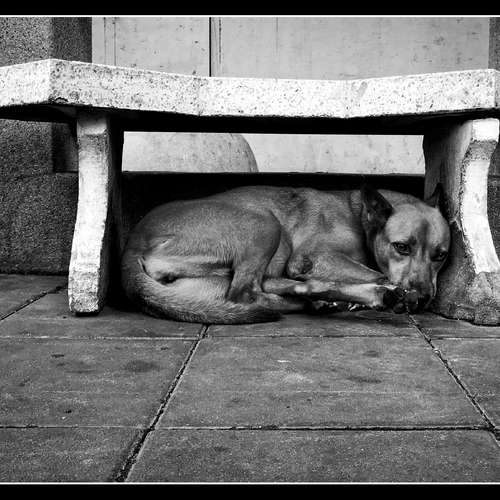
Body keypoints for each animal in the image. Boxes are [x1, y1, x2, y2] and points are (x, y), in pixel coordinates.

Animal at [121, 184, 450, 324]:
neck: (358, 217)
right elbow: (379, 273)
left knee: (273, 287)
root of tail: (133, 242)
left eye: (441, 256)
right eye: (401, 247)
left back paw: (326, 301)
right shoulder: (313, 257)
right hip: (264, 223)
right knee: (245, 292)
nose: (424, 297)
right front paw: (395, 291)